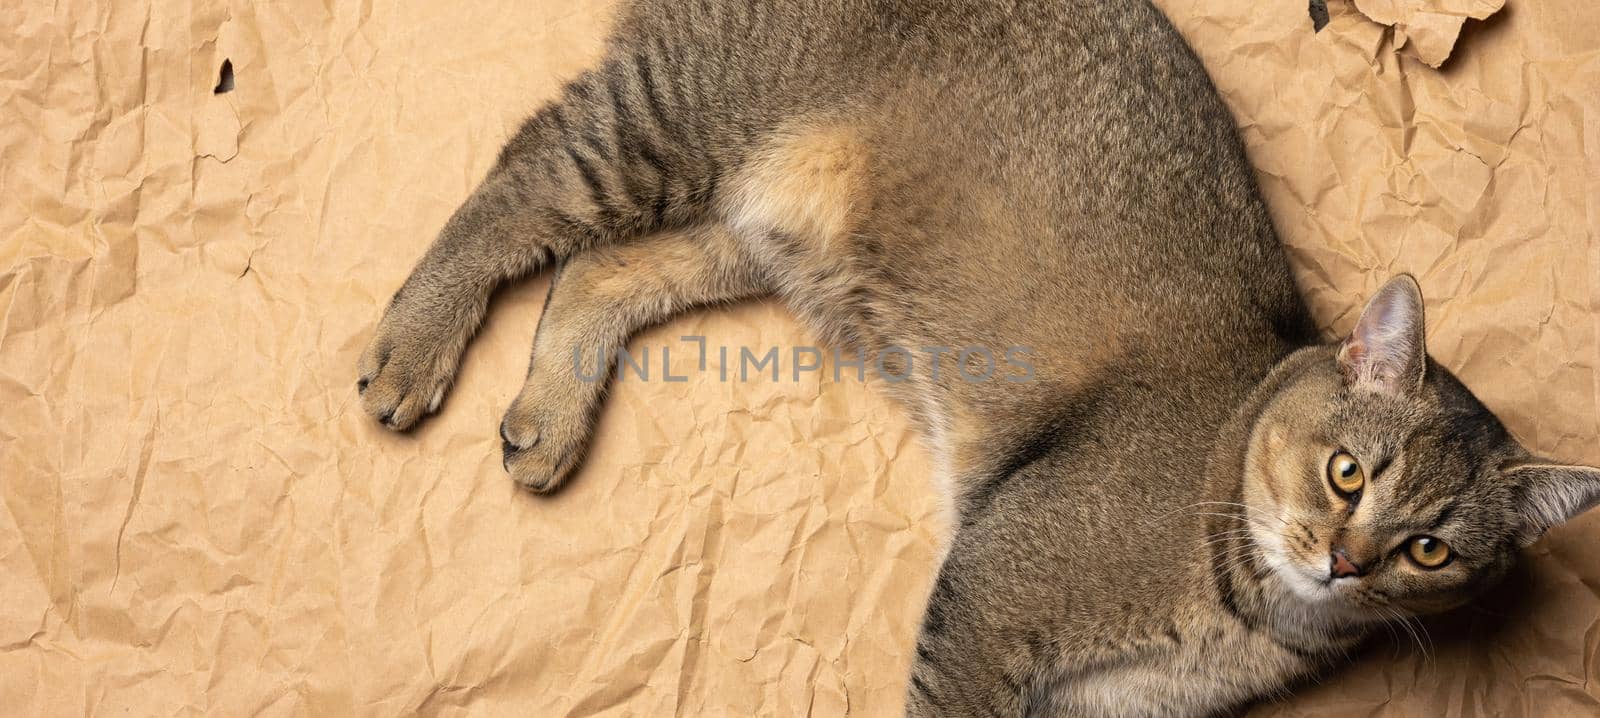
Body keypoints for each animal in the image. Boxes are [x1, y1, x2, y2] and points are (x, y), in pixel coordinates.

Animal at [360, 0, 1600, 710]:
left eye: (1430, 549)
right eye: (1348, 474)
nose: (1344, 560)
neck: (1255, 618)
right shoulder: (986, 609)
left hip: (757, 221)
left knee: (595, 269)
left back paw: (547, 416)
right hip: (678, 117)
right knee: (522, 178)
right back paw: (412, 347)